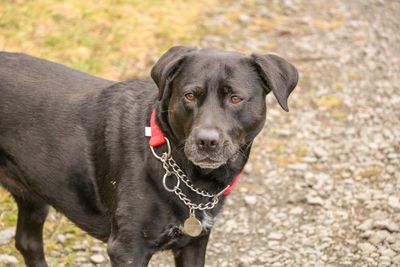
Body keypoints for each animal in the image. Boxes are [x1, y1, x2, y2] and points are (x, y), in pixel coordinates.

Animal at [0, 47, 296, 266]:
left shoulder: (195, 242)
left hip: (34, 195)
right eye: (190, 95)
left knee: (27, 242)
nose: (206, 141)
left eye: (235, 98)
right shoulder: (128, 249)